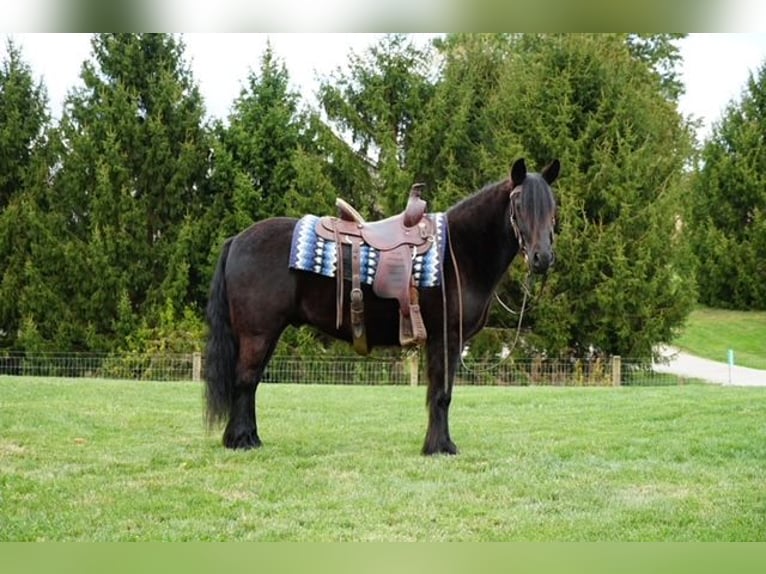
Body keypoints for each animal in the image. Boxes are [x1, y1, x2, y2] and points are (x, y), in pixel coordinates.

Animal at [204, 157, 560, 455]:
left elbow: (438, 393)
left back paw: (248, 438)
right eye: (518, 204)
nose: (542, 258)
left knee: (250, 383)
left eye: (552, 207)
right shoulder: (446, 337)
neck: (459, 252)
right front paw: (440, 447)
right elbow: (442, 394)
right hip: (258, 333)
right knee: (245, 380)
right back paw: (241, 441)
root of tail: (236, 240)